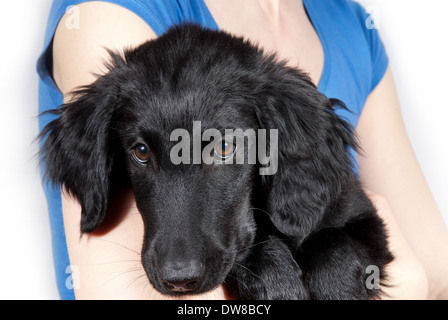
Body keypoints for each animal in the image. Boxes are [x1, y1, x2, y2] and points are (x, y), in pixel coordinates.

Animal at [41, 25, 392, 300]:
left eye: (224, 147)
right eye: (140, 151)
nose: (179, 281)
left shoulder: (361, 214)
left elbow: (332, 243)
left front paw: (339, 289)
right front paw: (277, 283)